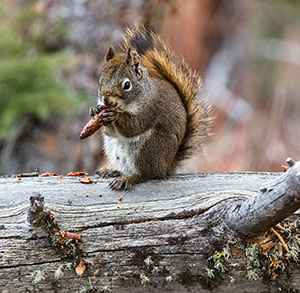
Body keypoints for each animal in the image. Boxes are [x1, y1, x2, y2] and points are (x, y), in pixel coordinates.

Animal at [89, 24, 213, 189]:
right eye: (100, 81)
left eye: (127, 85)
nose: (107, 100)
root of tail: (166, 167)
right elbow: (109, 132)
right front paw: (95, 110)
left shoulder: (152, 108)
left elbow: (134, 127)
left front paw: (115, 115)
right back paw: (113, 171)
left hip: (149, 148)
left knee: (147, 175)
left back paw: (128, 178)